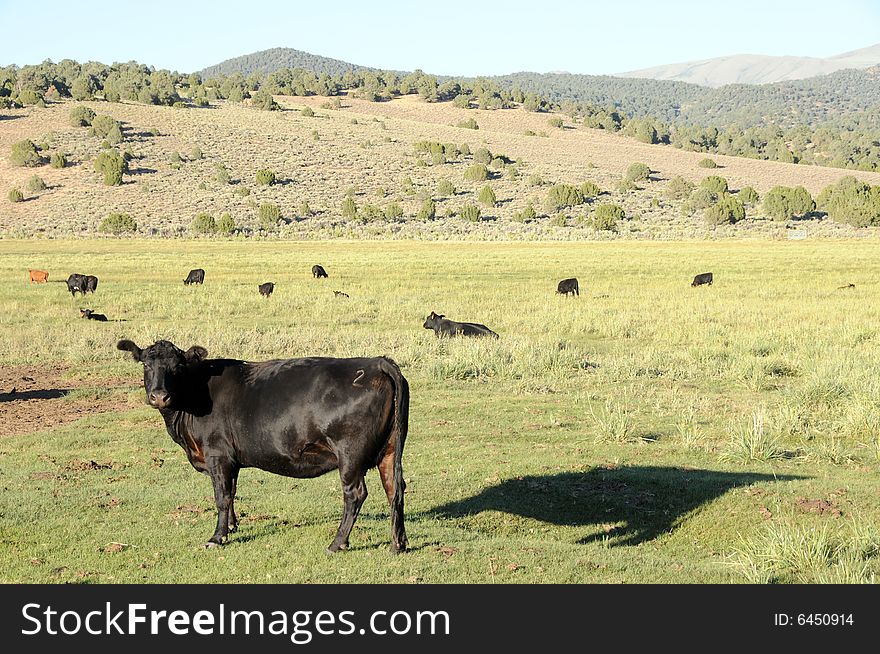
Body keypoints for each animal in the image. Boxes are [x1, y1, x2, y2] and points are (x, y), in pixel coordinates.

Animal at [113, 340, 410, 556]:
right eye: (146, 364)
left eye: (177, 366)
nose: (159, 396)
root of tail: (376, 362)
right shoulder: (231, 460)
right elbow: (232, 492)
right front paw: (232, 526)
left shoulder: (217, 455)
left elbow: (222, 496)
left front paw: (217, 537)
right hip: (390, 450)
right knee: (395, 489)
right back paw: (399, 544)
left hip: (349, 455)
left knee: (355, 494)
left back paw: (337, 543)